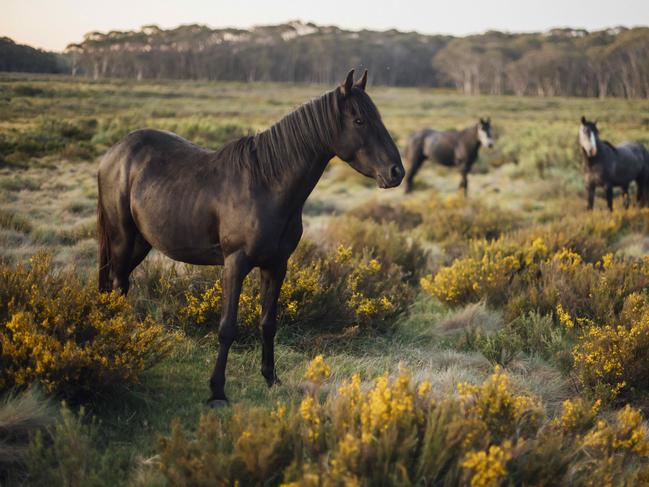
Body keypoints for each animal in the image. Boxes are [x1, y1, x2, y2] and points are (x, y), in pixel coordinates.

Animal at [97, 69, 402, 408]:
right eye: (359, 120)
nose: (396, 172)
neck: (265, 185)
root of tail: (115, 152)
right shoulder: (235, 264)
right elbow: (227, 327)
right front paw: (217, 391)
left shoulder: (276, 265)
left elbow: (268, 323)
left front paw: (271, 378)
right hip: (122, 238)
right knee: (116, 285)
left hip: (141, 242)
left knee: (119, 285)